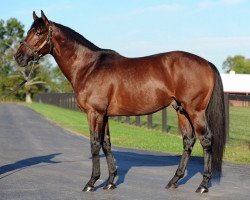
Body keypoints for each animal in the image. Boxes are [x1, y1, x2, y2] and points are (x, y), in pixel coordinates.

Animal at [15, 11, 227, 194]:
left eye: (39, 32)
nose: (19, 57)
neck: (89, 67)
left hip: (195, 111)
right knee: (188, 141)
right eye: (28, 32)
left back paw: (203, 185)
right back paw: (174, 181)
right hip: (181, 110)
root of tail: (206, 63)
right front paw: (110, 182)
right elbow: (106, 144)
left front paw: (91, 183)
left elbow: (94, 144)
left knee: (206, 140)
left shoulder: (95, 113)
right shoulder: (105, 115)